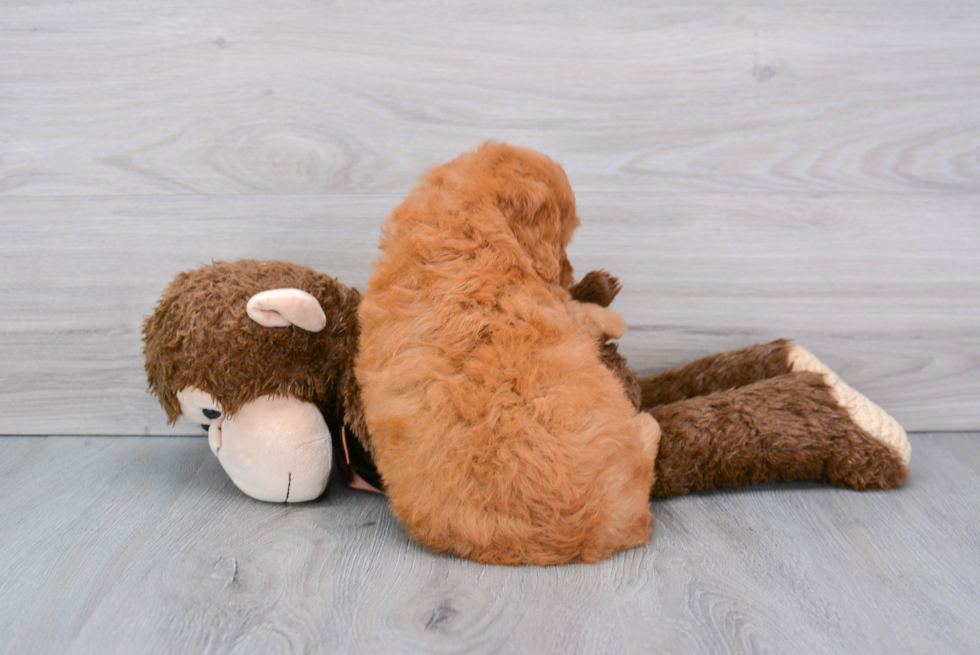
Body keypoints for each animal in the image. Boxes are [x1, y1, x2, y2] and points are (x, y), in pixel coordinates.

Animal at [352, 142, 660, 564]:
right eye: (564, 237)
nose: (568, 271)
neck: (462, 212)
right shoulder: (548, 301)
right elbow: (576, 310)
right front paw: (610, 316)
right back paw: (649, 423)